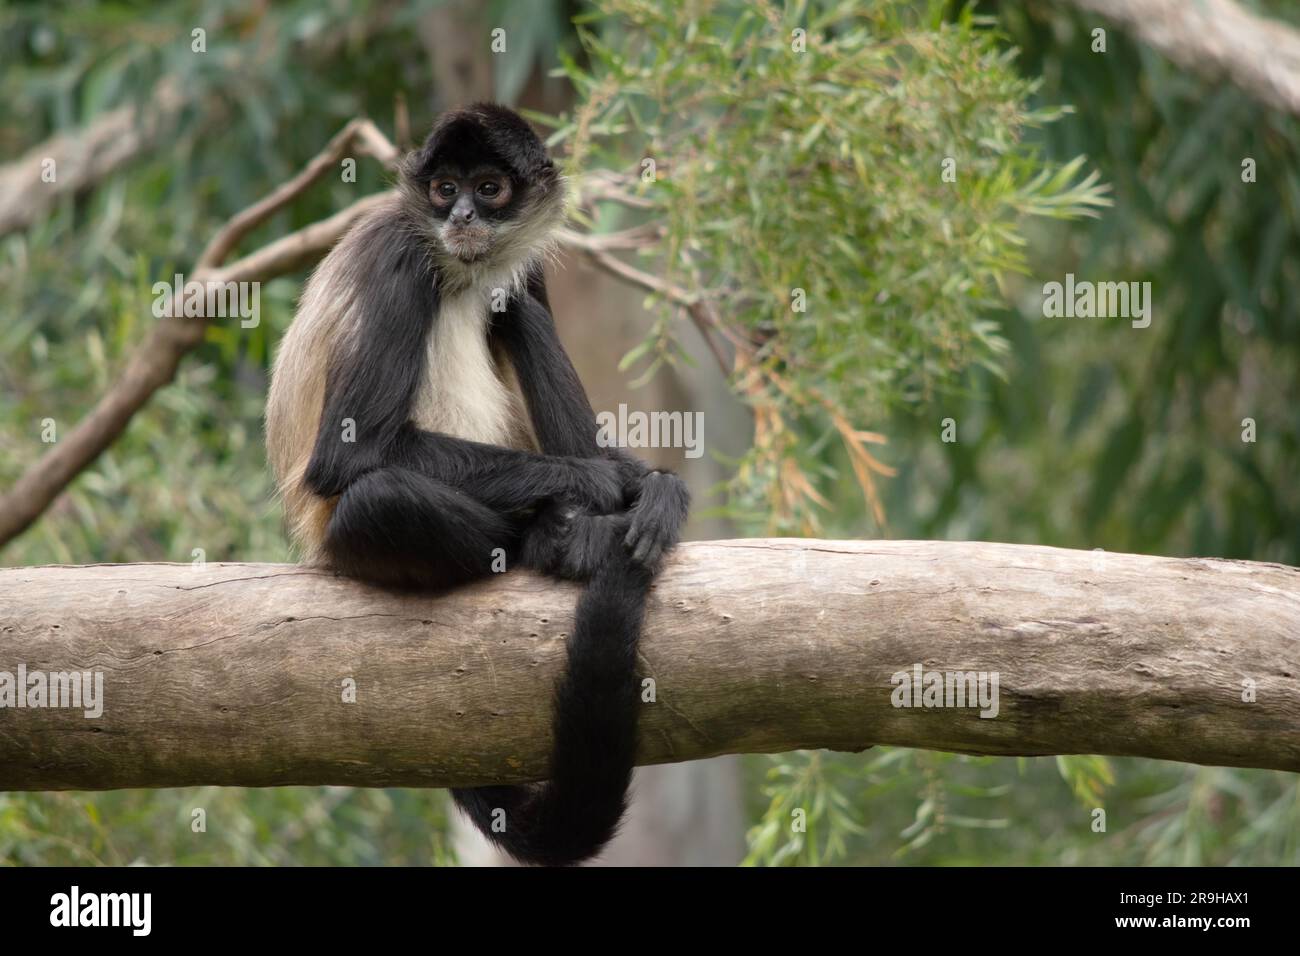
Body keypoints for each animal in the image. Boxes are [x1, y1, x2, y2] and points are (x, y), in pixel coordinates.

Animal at [263, 102, 691, 868]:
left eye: (488, 188)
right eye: (444, 189)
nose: (461, 213)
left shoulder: (523, 263)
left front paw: (656, 487)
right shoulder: (402, 259)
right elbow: (347, 456)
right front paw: (603, 481)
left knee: (515, 305)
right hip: (343, 534)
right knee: (380, 500)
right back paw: (551, 537)